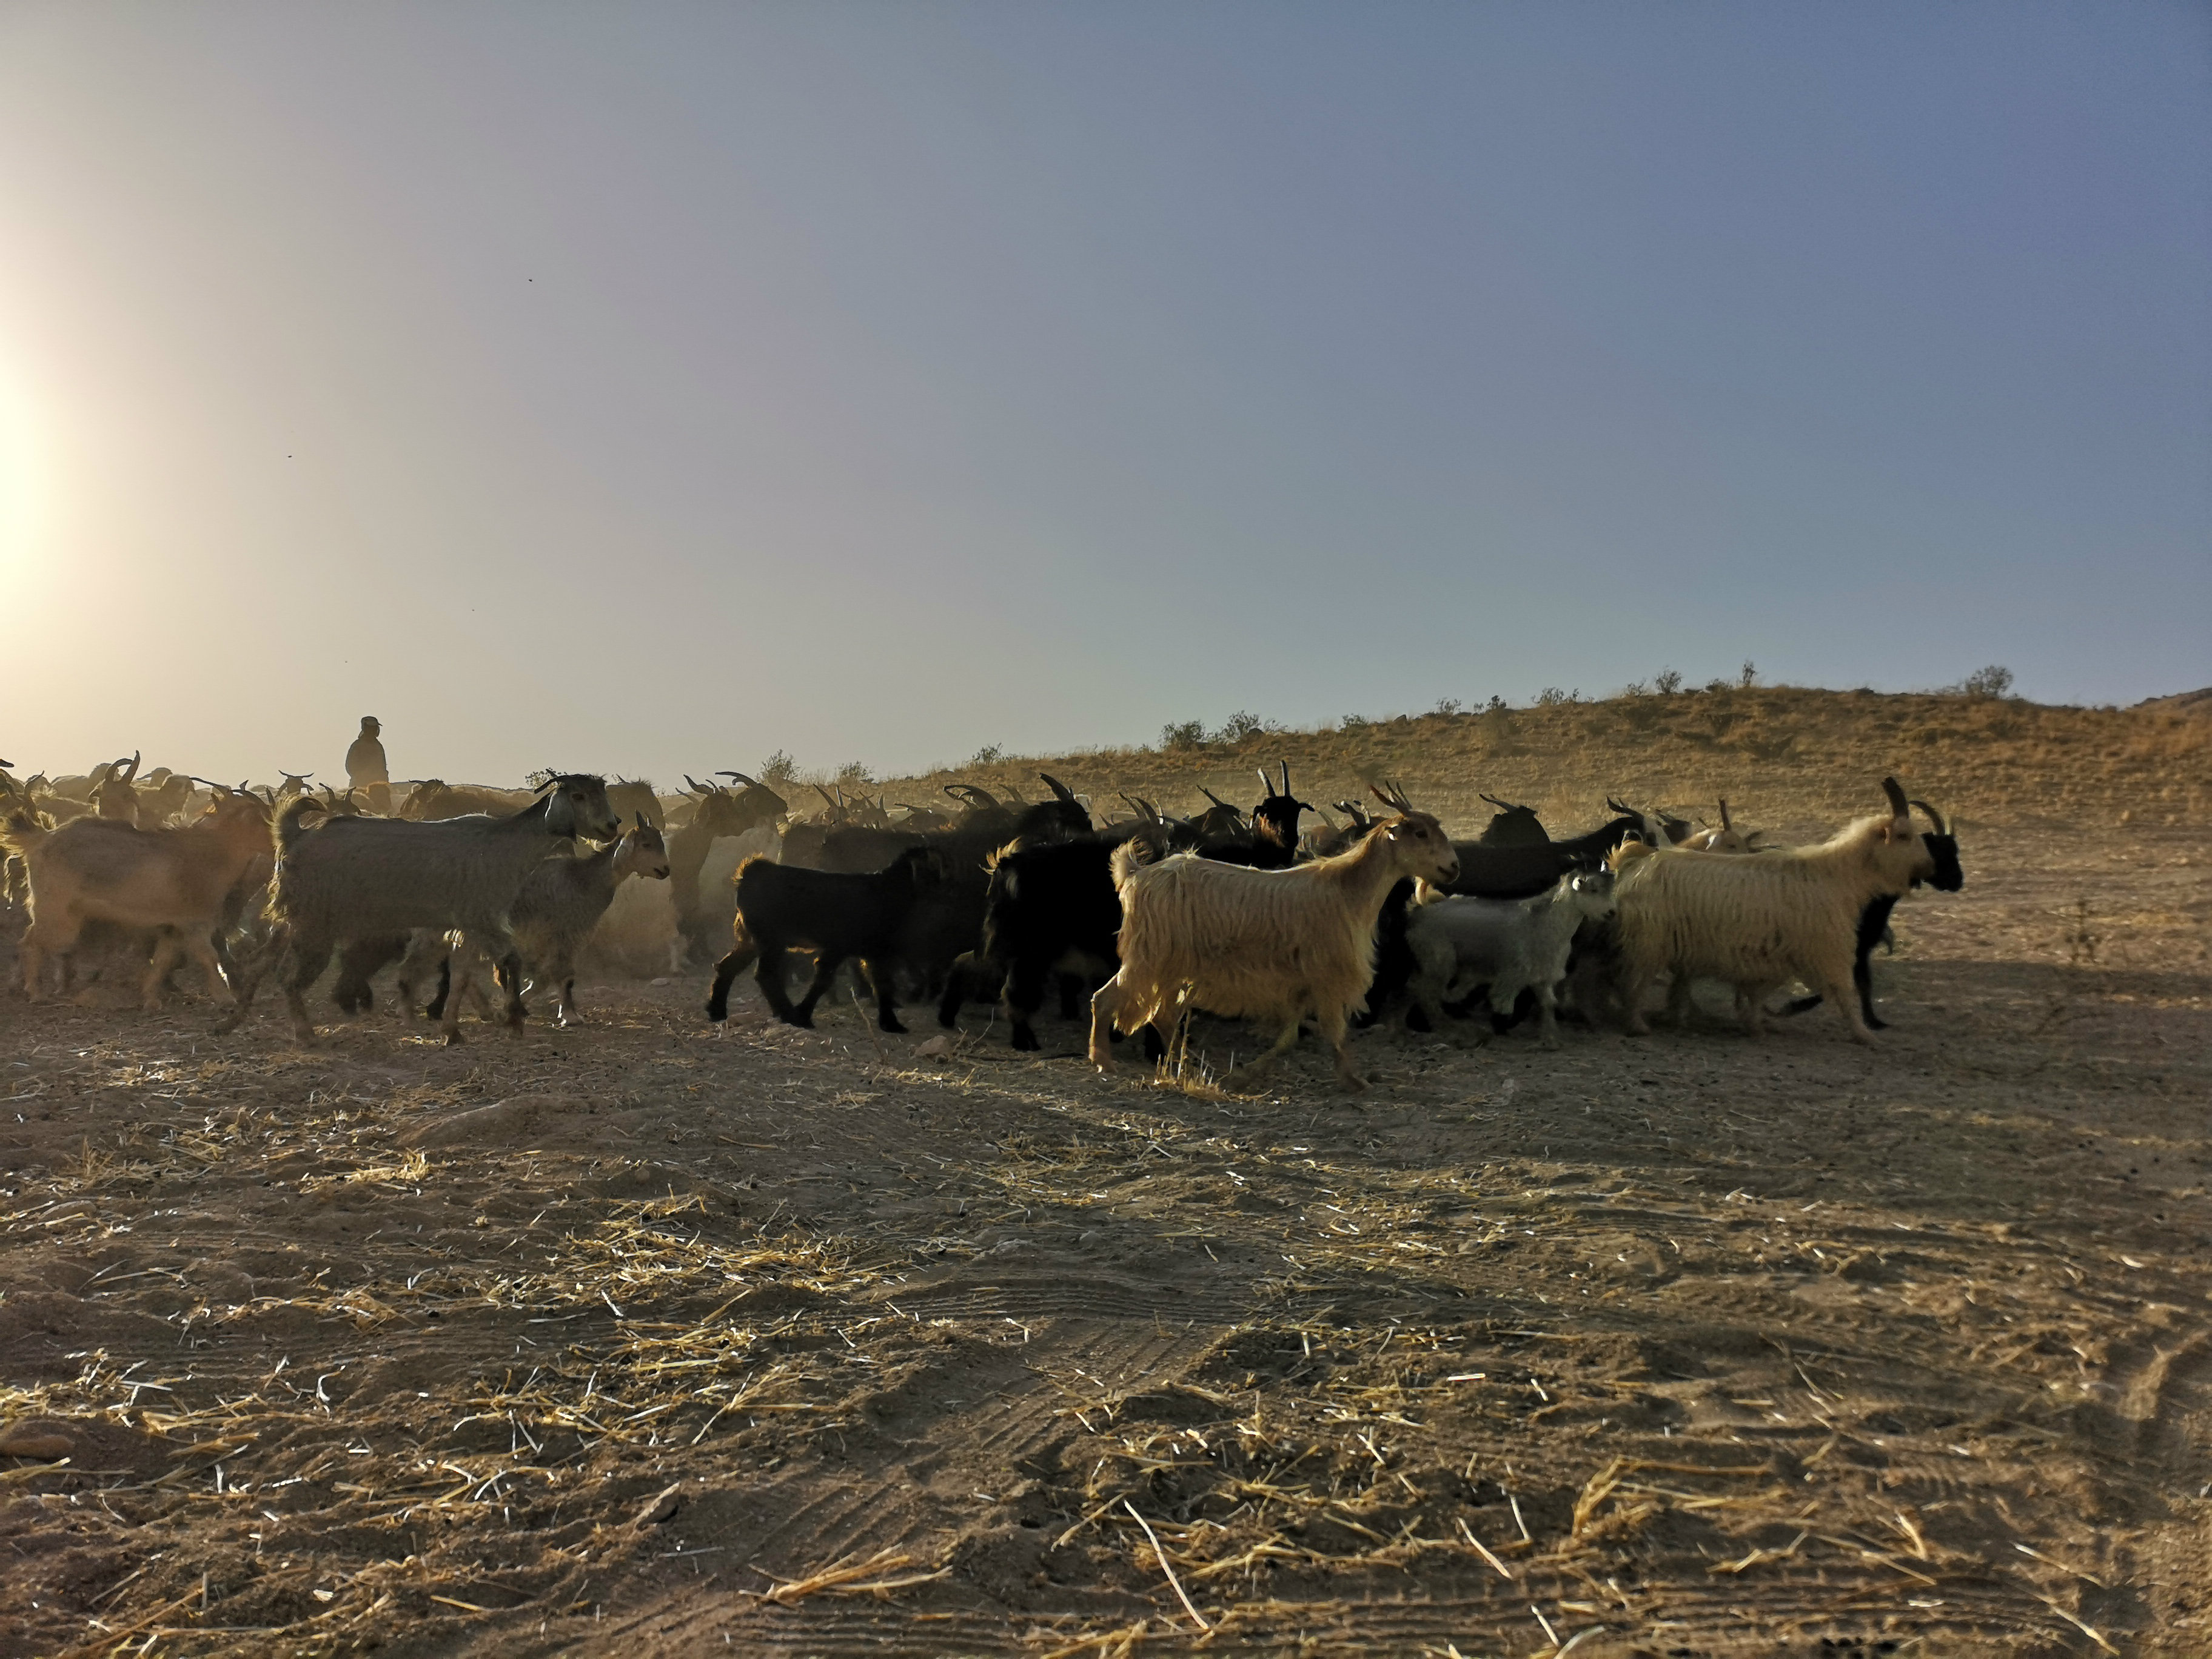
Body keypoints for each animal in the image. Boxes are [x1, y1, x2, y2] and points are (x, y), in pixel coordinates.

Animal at [708, 849, 942, 1035]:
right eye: (933, 870)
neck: (884, 894)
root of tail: (753, 872)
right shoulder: (837, 948)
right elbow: (824, 979)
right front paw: (803, 1015)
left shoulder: (876, 954)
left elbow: (882, 985)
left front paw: (892, 1024)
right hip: (771, 941)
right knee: (765, 975)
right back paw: (789, 1014)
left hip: (750, 940)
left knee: (728, 966)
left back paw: (717, 1011)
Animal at [1407, 871, 1619, 1053]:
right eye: (1593, 890)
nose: (1612, 913)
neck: (1546, 923)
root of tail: (1420, 912)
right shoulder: (1512, 974)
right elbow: (1502, 1007)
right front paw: (1498, 1033)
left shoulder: (1543, 976)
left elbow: (1548, 1004)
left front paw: (1551, 1041)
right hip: (1438, 958)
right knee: (1424, 991)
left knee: (1430, 992)